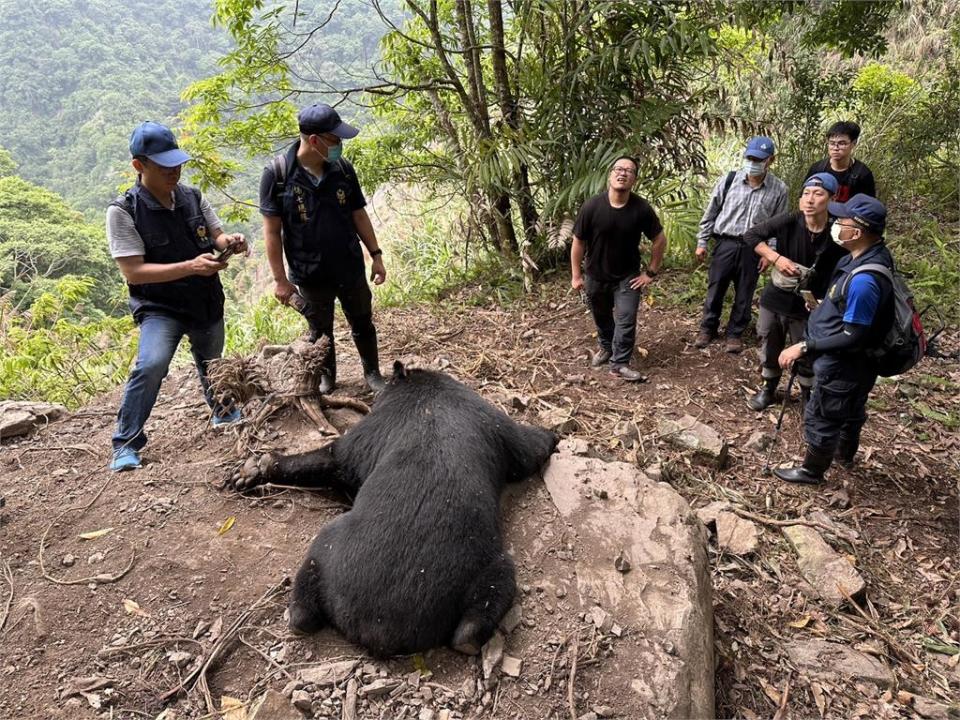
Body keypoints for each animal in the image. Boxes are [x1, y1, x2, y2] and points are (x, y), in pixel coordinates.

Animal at [225, 366, 556, 660]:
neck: (426, 389)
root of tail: (380, 628)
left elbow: (335, 457)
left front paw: (254, 467)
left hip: (332, 545)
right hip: (485, 575)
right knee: (474, 621)